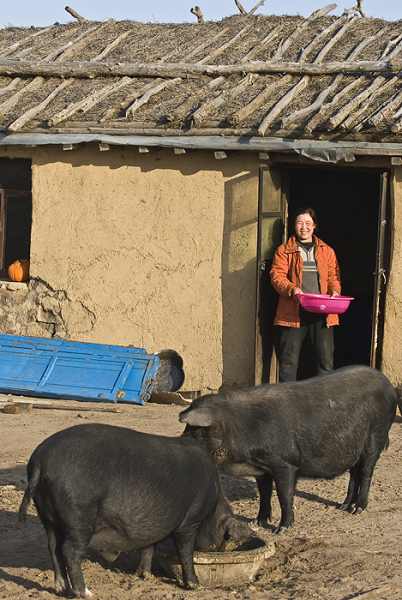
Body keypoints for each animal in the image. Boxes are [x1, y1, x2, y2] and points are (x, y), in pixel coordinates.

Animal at [18, 422, 253, 596]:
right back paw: (86, 593)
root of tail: (40, 461)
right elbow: (185, 551)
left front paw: (145, 575)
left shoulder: (156, 526)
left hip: (47, 517)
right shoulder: (190, 520)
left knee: (53, 546)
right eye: (224, 539)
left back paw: (61, 588)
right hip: (78, 515)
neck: (213, 504)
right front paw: (196, 586)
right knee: (69, 551)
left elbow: (148, 547)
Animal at [181, 366, 398, 536]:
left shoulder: (284, 464)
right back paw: (344, 506)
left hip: (377, 434)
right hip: (354, 447)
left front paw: (281, 529)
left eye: (194, 431)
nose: (180, 442)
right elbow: (265, 493)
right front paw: (258, 521)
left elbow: (284, 495)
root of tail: (388, 384)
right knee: (354, 473)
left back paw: (358, 510)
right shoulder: (262, 467)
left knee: (367, 473)